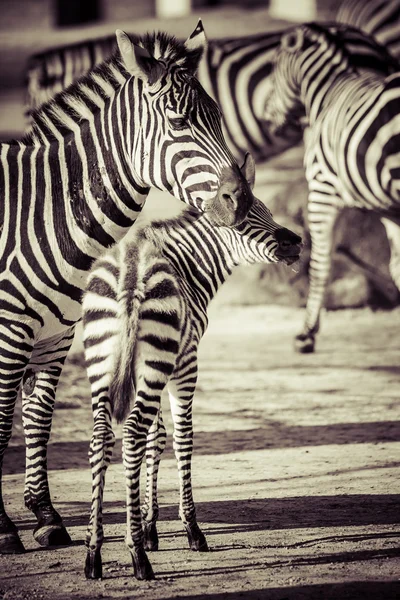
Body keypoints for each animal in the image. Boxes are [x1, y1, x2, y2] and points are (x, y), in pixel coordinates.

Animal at [0, 24, 256, 556]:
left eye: (220, 119)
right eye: (179, 122)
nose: (240, 201)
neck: (44, 212)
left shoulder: (56, 336)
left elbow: (38, 416)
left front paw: (46, 517)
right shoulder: (10, 330)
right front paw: (4, 527)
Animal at [82, 195, 300, 580]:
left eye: (268, 213)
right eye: (246, 221)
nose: (298, 242)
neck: (187, 265)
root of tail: (130, 270)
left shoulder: (150, 371)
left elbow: (155, 441)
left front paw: (150, 527)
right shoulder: (184, 362)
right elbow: (182, 440)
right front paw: (190, 531)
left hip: (105, 364)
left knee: (103, 439)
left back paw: (94, 553)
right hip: (159, 363)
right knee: (131, 435)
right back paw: (137, 556)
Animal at [264, 22, 400, 352]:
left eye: (273, 68)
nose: (266, 116)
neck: (326, 95)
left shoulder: (321, 191)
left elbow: (320, 264)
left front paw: (307, 333)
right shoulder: (389, 207)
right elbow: (397, 265)